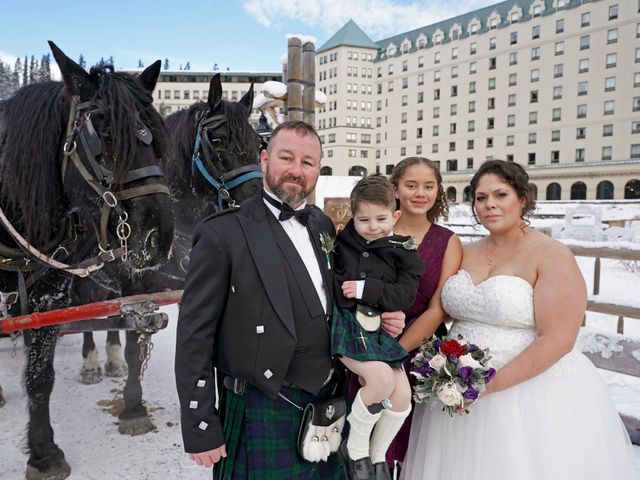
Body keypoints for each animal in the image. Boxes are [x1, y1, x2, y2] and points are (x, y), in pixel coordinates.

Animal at [0, 42, 172, 480]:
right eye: (104, 134)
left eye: (156, 138)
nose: (159, 236)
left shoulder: (49, 295)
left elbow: (40, 377)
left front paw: (44, 452)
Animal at [75, 72, 262, 436]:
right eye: (217, 141)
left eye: (259, 145)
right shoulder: (137, 289)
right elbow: (135, 346)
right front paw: (134, 408)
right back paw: (90, 362)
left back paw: (111, 359)